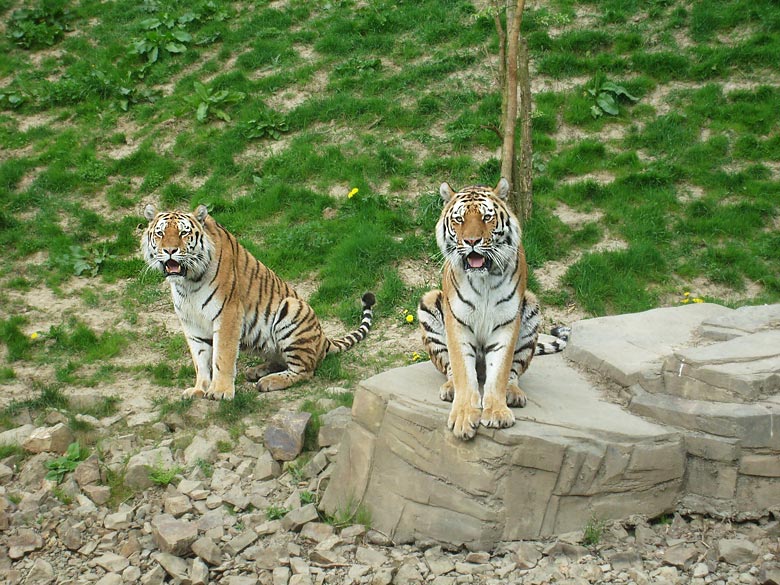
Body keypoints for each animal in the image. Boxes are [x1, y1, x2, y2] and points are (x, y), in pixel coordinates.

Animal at [142, 203, 376, 400]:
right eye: (160, 233)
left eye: (183, 233)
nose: (169, 250)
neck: (187, 283)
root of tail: (323, 339)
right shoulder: (191, 323)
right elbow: (200, 360)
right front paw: (199, 389)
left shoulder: (228, 314)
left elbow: (222, 356)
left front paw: (220, 391)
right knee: (281, 360)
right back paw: (256, 371)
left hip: (292, 309)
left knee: (305, 370)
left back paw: (268, 381)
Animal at [418, 177, 568, 438]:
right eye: (459, 219)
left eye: (487, 217)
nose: (471, 242)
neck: (484, 279)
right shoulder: (457, 323)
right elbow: (462, 370)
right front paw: (464, 416)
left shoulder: (507, 322)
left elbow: (500, 371)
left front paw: (497, 413)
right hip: (430, 302)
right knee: (450, 369)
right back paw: (450, 388)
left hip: (532, 306)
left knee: (514, 373)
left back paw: (513, 394)